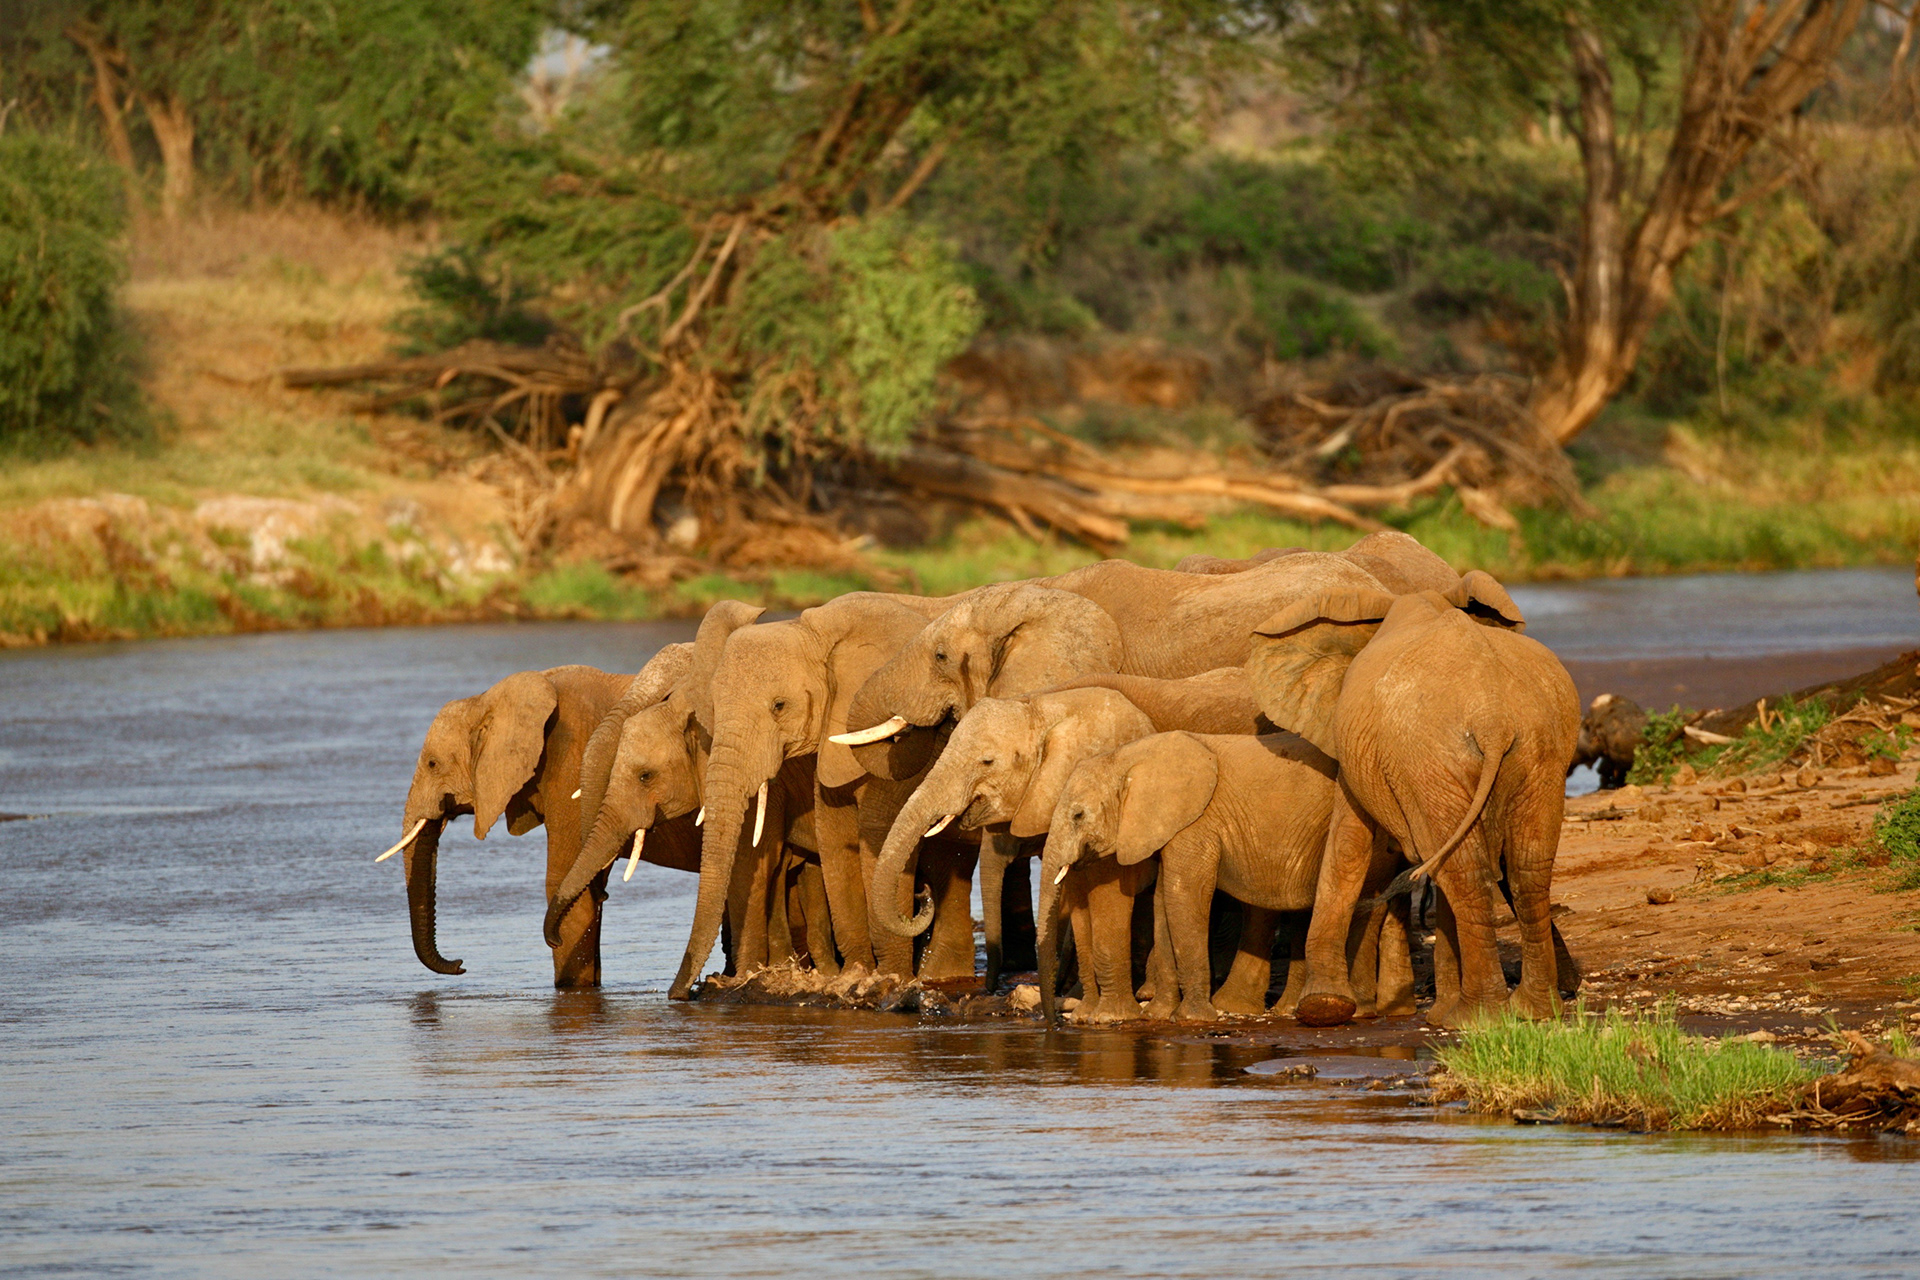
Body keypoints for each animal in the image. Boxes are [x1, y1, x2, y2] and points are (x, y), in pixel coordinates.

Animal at [1247, 571, 1580, 1028]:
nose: (1573, 985)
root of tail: (1493, 716)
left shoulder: (1354, 749)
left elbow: (1347, 845)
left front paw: (1321, 1007)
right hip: (1537, 751)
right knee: (1524, 868)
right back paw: (1530, 1012)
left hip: (1431, 760)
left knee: (1463, 872)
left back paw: (1478, 1017)